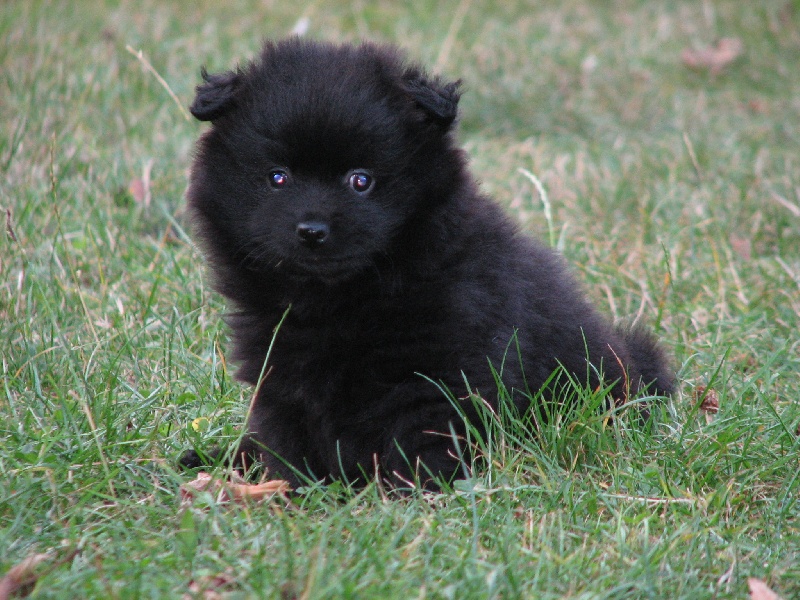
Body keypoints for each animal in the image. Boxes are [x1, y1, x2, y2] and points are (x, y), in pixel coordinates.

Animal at [180, 37, 668, 490]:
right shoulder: (279, 371)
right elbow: (286, 437)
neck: (342, 300)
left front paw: (411, 495)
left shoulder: (440, 376)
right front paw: (296, 489)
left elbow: (423, 438)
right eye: (277, 178)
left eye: (361, 180)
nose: (312, 230)